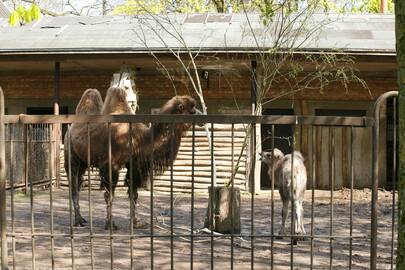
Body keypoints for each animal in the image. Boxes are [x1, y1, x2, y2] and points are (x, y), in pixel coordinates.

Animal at [65, 87, 202, 230]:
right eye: (192, 110)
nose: (203, 117)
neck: (137, 139)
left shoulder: (134, 165)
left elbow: (134, 194)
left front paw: (136, 222)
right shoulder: (111, 165)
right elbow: (109, 195)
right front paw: (110, 224)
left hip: (83, 162)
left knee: (78, 184)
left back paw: (81, 218)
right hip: (72, 157)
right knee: (73, 186)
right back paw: (78, 221)